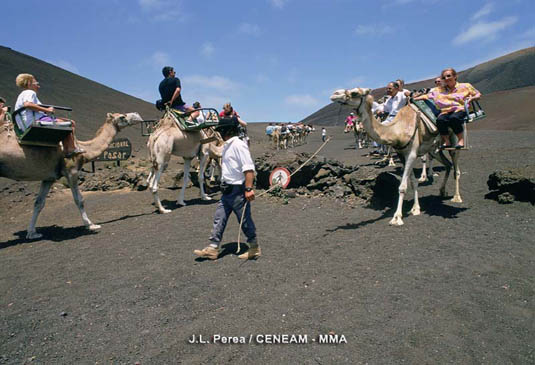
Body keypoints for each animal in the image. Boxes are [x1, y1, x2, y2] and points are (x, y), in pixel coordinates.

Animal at [0, 113, 142, 239]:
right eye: (122, 116)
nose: (137, 116)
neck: (84, 150)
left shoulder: (49, 177)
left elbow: (38, 203)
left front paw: (32, 233)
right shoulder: (71, 171)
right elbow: (79, 199)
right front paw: (91, 225)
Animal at [330, 88, 460, 225]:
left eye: (355, 93)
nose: (335, 94)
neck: (397, 130)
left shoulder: (412, 154)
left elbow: (402, 187)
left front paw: (397, 217)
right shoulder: (402, 155)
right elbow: (413, 182)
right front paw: (415, 209)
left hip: (454, 138)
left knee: (455, 166)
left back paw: (456, 197)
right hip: (434, 149)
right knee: (447, 164)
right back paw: (442, 191)